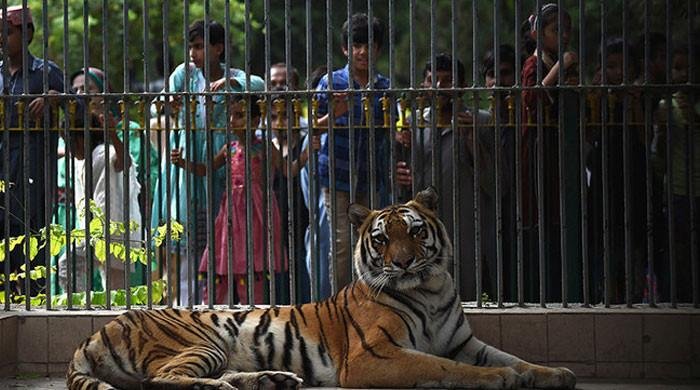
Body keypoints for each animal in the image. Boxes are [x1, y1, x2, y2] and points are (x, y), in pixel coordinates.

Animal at [67, 187, 576, 388]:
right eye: (381, 239)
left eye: (415, 231)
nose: (403, 262)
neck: (429, 292)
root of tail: (96, 331)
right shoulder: (375, 355)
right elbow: (445, 369)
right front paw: (500, 379)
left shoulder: (464, 342)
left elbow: (512, 356)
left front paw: (553, 374)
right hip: (203, 340)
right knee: (164, 380)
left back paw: (272, 380)